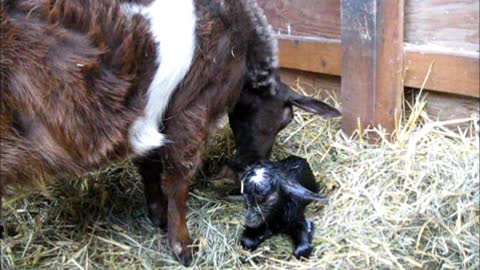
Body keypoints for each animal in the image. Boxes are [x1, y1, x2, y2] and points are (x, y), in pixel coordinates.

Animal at [0, 0, 340, 266]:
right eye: (285, 119)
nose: (255, 163)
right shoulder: (193, 106)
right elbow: (178, 177)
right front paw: (182, 244)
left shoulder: (151, 114)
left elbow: (148, 164)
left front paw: (156, 214)